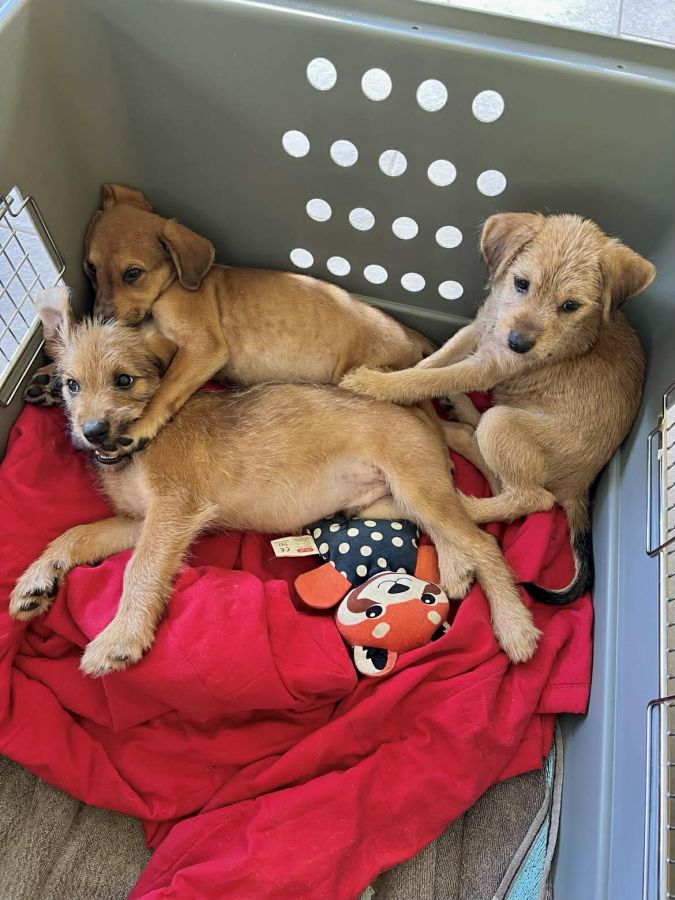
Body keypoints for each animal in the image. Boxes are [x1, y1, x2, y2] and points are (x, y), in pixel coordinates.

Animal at [10, 288, 540, 674]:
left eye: (124, 380)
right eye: (70, 385)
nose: (92, 431)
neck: (136, 450)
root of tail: (409, 403)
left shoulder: (172, 512)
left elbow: (138, 570)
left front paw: (120, 638)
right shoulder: (139, 522)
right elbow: (76, 534)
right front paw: (36, 579)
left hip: (417, 485)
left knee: (484, 543)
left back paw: (515, 627)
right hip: (385, 502)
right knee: (448, 508)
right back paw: (455, 565)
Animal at [24, 183, 434, 456]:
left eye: (132, 274)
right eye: (90, 269)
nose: (101, 318)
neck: (169, 288)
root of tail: (414, 336)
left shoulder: (202, 347)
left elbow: (165, 389)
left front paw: (140, 426)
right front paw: (51, 376)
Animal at [341, 213, 654, 604]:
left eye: (571, 305)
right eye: (521, 283)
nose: (519, 343)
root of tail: (581, 486)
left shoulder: (490, 364)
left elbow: (432, 377)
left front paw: (375, 385)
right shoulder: (479, 329)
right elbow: (432, 365)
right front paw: (403, 378)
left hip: (502, 424)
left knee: (533, 498)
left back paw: (457, 504)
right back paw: (461, 409)